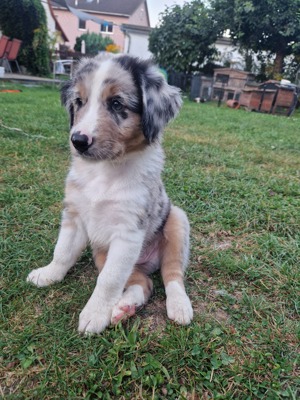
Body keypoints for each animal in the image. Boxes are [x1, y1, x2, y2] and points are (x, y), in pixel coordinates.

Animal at [27, 54, 192, 334]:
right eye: (79, 102)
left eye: (116, 103)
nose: (78, 141)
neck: (104, 171)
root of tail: (148, 262)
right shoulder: (74, 217)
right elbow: (62, 252)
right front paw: (48, 274)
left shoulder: (127, 232)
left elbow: (108, 280)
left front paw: (94, 314)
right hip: (104, 255)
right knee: (143, 283)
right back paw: (124, 308)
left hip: (177, 223)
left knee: (171, 274)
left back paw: (179, 306)